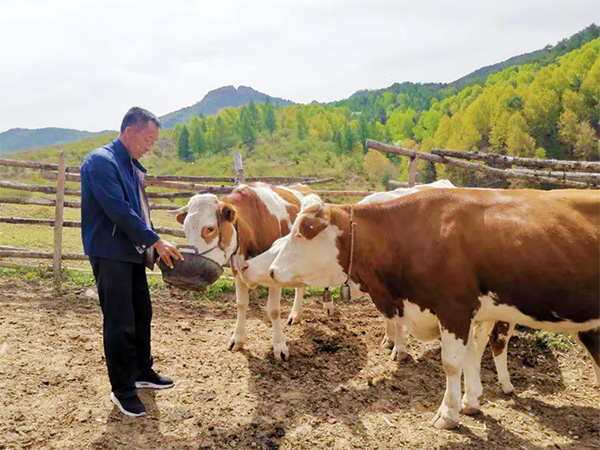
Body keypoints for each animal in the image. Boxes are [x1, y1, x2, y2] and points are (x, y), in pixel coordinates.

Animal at [171, 181, 316, 360]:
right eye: (185, 230)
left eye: (210, 228)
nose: (189, 269)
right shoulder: (237, 271)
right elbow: (241, 304)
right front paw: (237, 339)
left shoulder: (273, 274)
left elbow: (274, 310)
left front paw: (279, 345)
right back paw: (296, 314)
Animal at [268, 188, 600, 428]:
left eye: (301, 232)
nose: (271, 270)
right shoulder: (470, 313)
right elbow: (471, 356)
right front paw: (470, 402)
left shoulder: (454, 308)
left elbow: (452, 363)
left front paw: (448, 414)